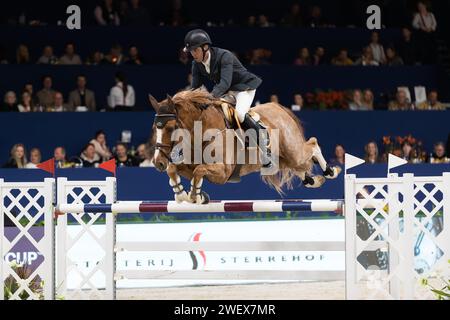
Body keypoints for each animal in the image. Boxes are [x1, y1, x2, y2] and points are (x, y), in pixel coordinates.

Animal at [149, 89, 340, 205]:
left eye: (170, 128)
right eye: (154, 128)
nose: (158, 162)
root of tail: (279, 108)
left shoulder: (223, 173)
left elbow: (199, 171)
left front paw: (195, 196)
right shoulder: (189, 166)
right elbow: (174, 169)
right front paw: (182, 194)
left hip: (293, 152)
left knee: (313, 144)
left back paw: (330, 172)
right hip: (283, 160)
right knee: (301, 167)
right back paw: (314, 180)